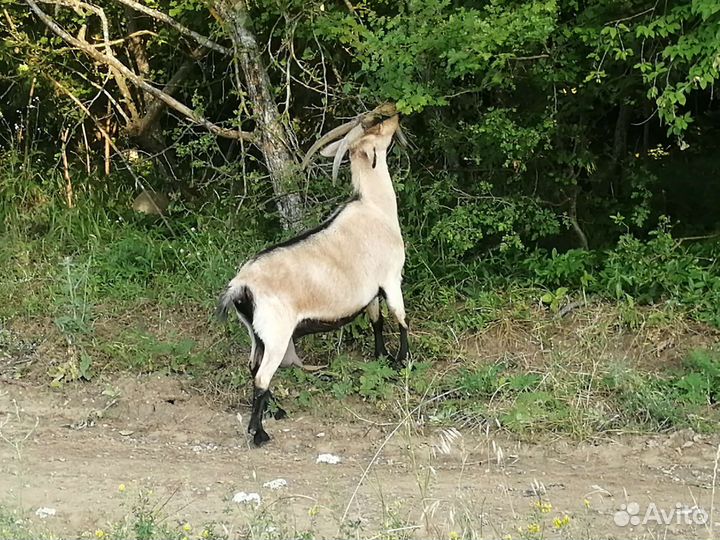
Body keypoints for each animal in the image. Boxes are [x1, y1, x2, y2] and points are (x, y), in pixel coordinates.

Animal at [217, 109, 408, 446]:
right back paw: (259, 434)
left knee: (253, 367)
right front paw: (404, 361)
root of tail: (240, 286)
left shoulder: (370, 291)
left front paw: (382, 358)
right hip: (277, 333)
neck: (375, 208)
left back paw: (277, 413)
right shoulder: (390, 278)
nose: (395, 114)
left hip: (255, 333)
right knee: (262, 376)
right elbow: (400, 317)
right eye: (377, 127)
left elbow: (376, 321)